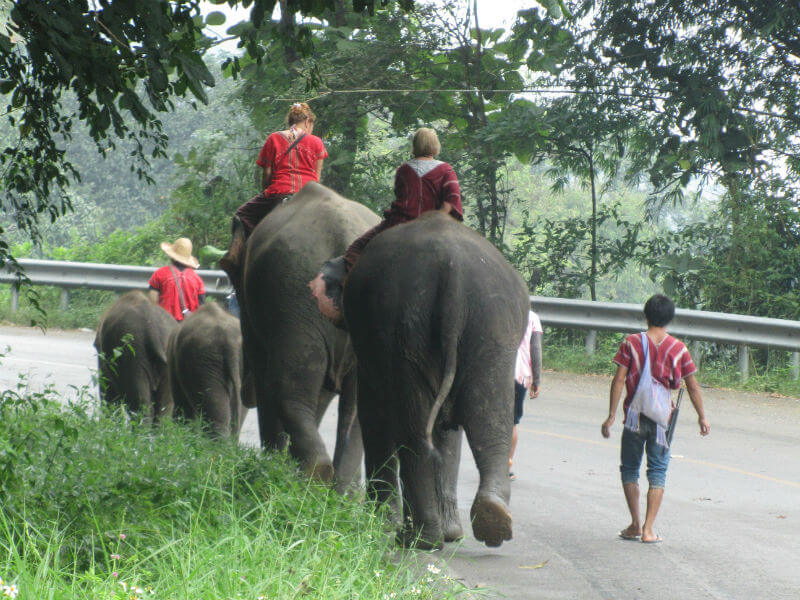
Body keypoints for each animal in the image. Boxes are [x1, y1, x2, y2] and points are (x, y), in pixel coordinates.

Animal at [239, 183, 380, 492]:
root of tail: (347, 234)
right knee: (357, 409)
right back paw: (338, 490)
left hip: (295, 298)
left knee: (287, 387)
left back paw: (308, 477)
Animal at [340, 211, 528, 548]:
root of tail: (451, 271)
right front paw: (451, 533)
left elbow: (373, 415)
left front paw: (380, 523)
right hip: (492, 329)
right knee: (490, 420)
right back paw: (489, 523)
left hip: (406, 334)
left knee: (414, 431)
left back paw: (418, 539)